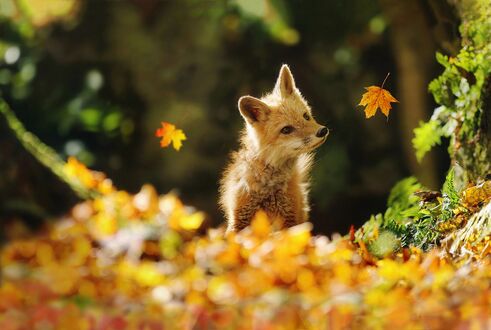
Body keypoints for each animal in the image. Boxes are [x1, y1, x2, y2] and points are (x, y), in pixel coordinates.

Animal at [220, 65, 328, 232]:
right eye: (286, 130)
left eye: (306, 116)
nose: (322, 131)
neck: (268, 189)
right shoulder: (239, 219)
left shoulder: (290, 220)